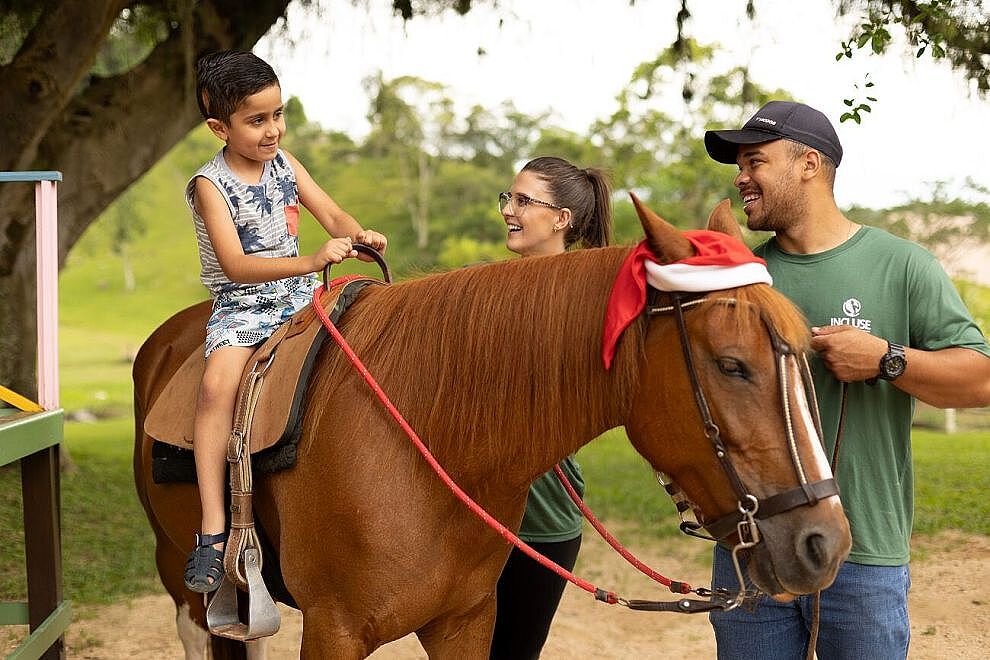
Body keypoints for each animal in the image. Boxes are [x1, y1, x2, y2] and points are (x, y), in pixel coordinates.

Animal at [134, 199, 852, 656]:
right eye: (732, 365)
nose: (826, 542)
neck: (425, 441)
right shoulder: (334, 630)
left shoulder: (467, 621)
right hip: (179, 569)